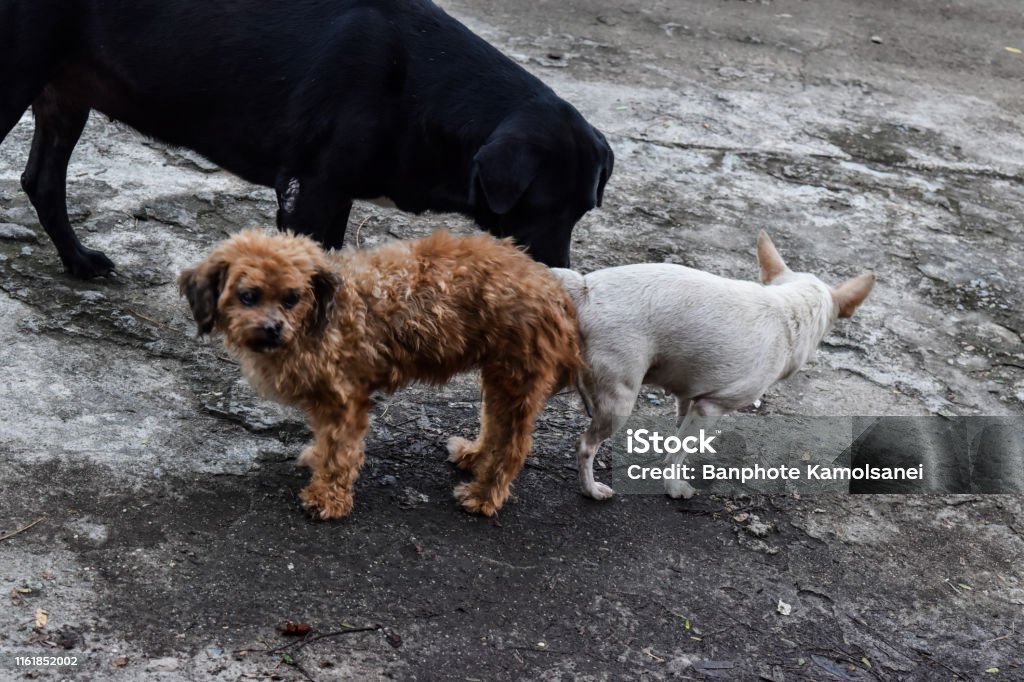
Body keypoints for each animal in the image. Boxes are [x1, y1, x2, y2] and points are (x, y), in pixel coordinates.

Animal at [0, 1, 610, 276]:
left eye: (582, 211)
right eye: (542, 207)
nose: (561, 274)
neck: (420, 80)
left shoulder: (330, 197)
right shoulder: (311, 192)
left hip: (66, 94)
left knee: (42, 182)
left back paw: (78, 260)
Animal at [557, 229, 876, 499]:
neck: (790, 311)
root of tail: (585, 288)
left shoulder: (688, 397)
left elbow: (679, 437)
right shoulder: (711, 406)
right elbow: (681, 448)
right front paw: (674, 487)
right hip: (619, 401)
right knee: (585, 445)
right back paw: (591, 490)